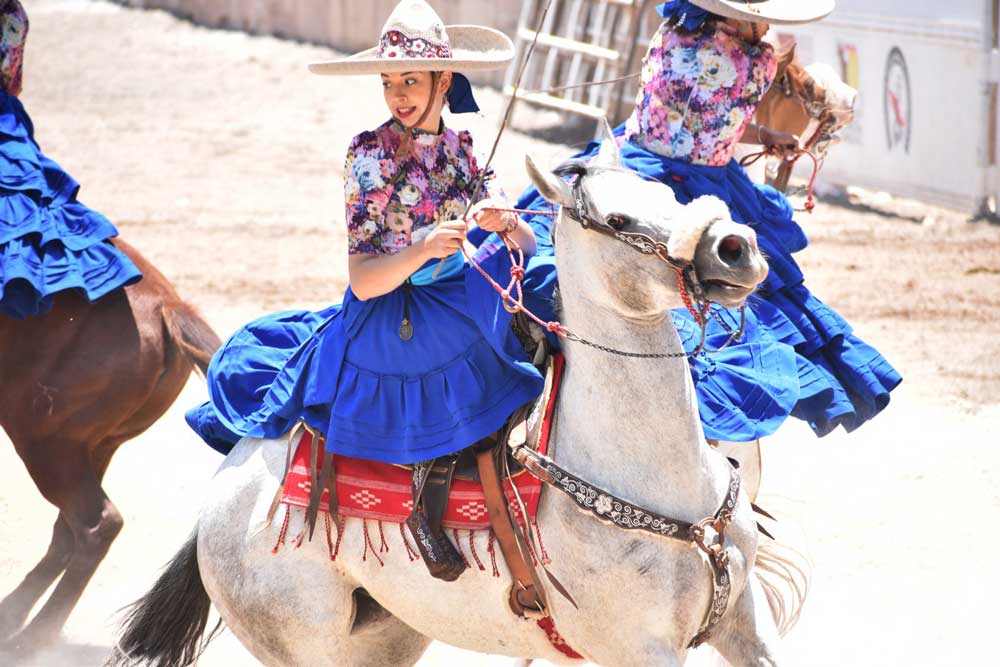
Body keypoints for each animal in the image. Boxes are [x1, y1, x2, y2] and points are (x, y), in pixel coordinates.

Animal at [0, 240, 221, 656]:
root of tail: (167, 307)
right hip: (92, 448)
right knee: (68, 531)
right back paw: (14, 619)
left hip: (47, 446)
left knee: (95, 525)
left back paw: (31, 638)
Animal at [109, 137, 792, 667]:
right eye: (620, 221)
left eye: (672, 196)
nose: (736, 247)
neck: (664, 490)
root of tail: (227, 493)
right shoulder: (638, 649)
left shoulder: (744, 620)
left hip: (387, 636)